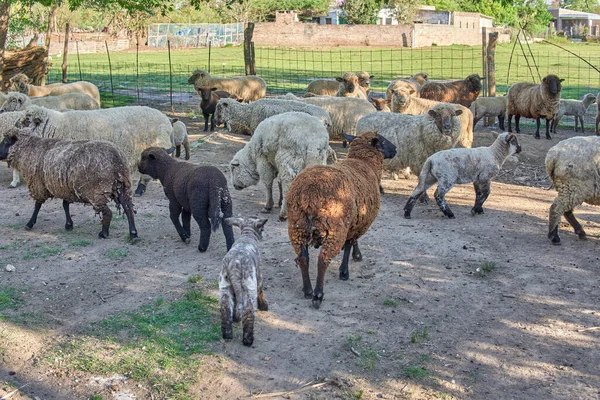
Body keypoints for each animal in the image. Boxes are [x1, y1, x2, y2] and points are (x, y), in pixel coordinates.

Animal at [0, 130, 137, 241]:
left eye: (6, 141)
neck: (30, 150)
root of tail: (117, 160)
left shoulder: (38, 185)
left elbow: (37, 205)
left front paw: (29, 223)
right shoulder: (65, 188)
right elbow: (65, 205)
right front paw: (69, 224)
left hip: (96, 190)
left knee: (108, 212)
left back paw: (103, 233)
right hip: (122, 186)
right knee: (128, 208)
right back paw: (133, 234)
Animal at [219, 216, 268, 346]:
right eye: (262, 228)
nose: (264, 235)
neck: (247, 234)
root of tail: (234, 265)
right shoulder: (258, 275)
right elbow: (261, 290)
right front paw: (264, 306)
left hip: (225, 284)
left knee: (225, 307)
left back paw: (227, 334)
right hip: (249, 284)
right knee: (249, 311)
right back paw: (248, 340)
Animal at [288, 133, 396, 308]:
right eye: (384, 141)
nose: (396, 149)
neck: (363, 163)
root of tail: (309, 193)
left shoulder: (356, 219)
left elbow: (352, 242)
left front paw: (357, 255)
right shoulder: (359, 222)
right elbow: (349, 244)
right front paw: (345, 271)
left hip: (297, 225)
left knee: (303, 258)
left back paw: (308, 290)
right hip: (334, 227)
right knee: (323, 259)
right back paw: (317, 295)